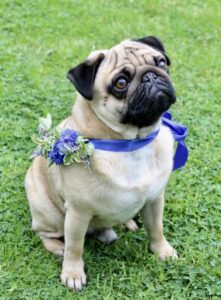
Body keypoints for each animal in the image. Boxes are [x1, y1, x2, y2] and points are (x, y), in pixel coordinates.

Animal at [25, 35, 178, 290]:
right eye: (121, 83)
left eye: (161, 63)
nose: (151, 76)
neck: (132, 143)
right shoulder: (78, 213)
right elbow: (75, 247)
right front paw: (73, 274)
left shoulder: (155, 199)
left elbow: (157, 229)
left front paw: (163, 251)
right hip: (51, 214)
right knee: (45, 234)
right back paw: (57, 247)